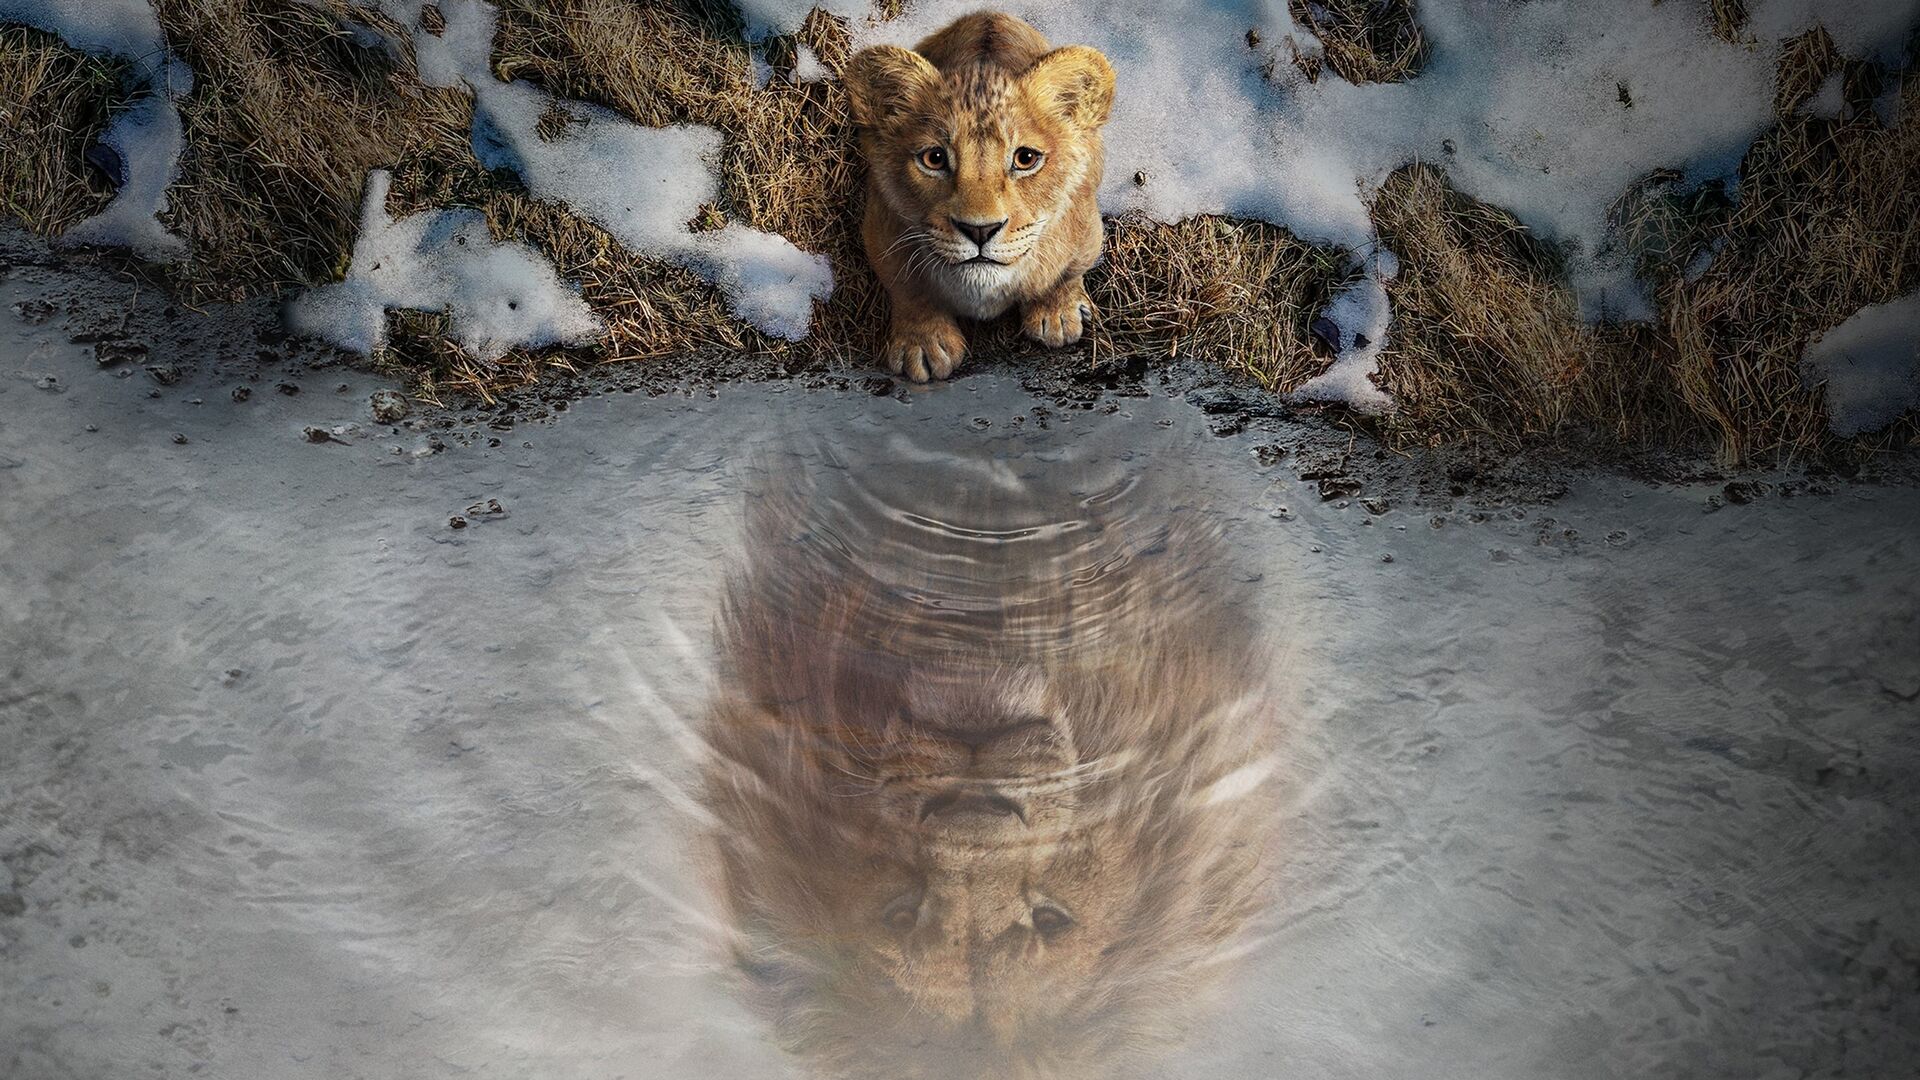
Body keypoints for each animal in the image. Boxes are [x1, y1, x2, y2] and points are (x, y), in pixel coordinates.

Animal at [844, 12, 1116, 383]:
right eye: (934, 159)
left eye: (1025, 158)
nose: (979, 230)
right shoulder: (880, 229)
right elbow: (908, 289)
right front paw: (923, 345)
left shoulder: (1086, 228)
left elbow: (1066, 273)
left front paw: (1058, 314)